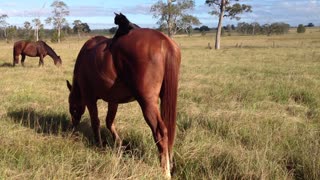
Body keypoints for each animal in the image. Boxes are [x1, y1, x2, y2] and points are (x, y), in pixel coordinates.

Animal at [67, 29, 180, 177]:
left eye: (73, 108)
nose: (73, 127)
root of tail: (163, 40)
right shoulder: (113, 101)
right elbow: (109, 122)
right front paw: (119, 144)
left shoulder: (89, 98)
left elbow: (95, 122)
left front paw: (99, 145)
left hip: (147, 104)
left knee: (160, 133)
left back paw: (165, 171)